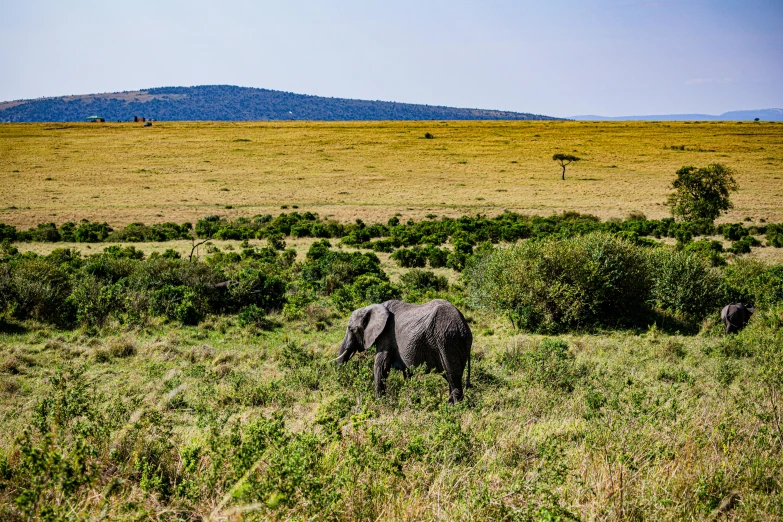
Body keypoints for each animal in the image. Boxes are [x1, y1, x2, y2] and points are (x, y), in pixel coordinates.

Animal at [336, 296, 472, 402]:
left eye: (351, 329)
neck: (372, 307)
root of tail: (463, 327)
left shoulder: (386, 335)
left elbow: (381, 366)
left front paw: (380, 403)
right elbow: (407, 372)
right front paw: (413, 402)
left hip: (447, 341)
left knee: (452, 377)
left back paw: (455, 409)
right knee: (451, 377)